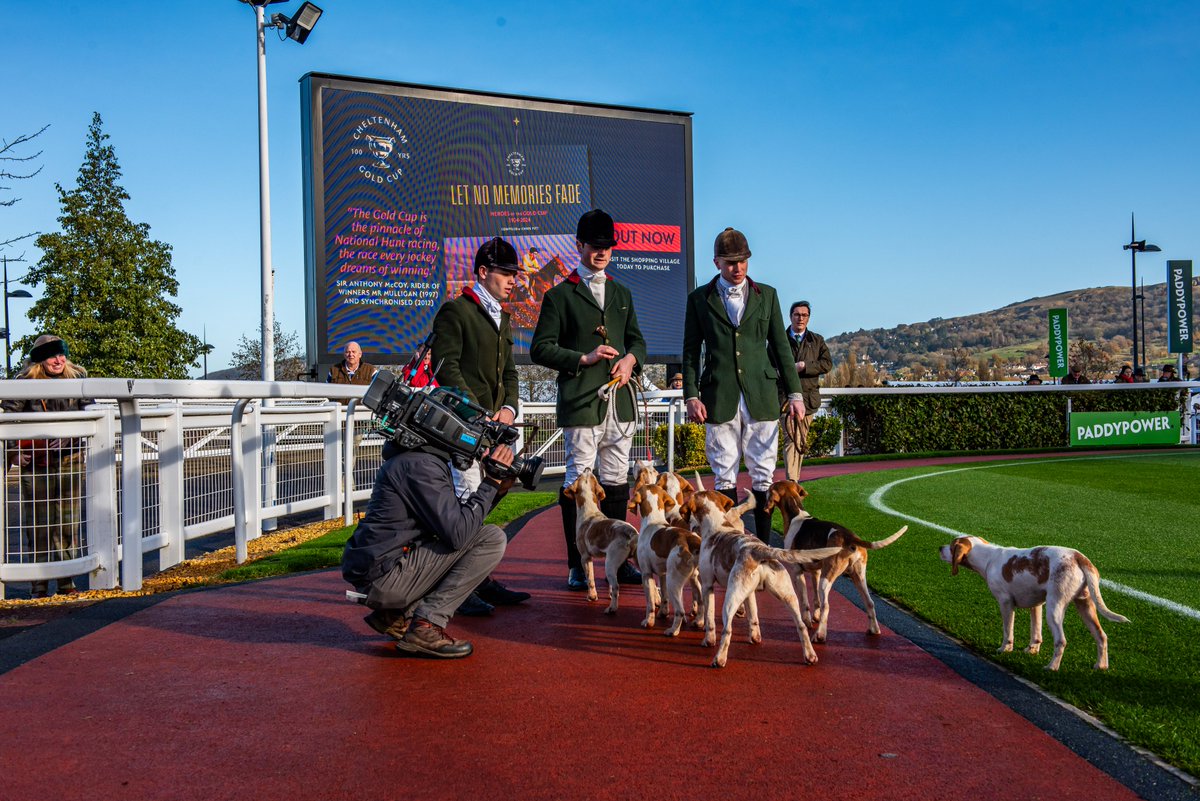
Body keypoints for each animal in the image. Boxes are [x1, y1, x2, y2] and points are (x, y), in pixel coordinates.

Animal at [566, 470, 643, 613]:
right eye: (592, 477)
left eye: (579, 476)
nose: (587, 468)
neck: (590, 510)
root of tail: (631, 533)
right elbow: (610, 587)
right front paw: (609, 594)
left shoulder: (585, 557)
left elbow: (590, 579)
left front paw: (592, 596)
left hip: (610, 565)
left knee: (617, 586)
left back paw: (612, 608)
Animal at [940, 537, 1128, 671]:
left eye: (951, 546)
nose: (939, 548)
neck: (988, 558)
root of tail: (1079, 557)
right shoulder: (1036, 605)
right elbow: (1036, 633)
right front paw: (1032, 650)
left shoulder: (1005, 603)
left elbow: (1008, 632)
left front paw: (1004, 649)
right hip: (1085, 606)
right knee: (1101, 636)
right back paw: (1101, 666)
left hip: (1054, 609)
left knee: (1061, 641)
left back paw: (1052, 667)